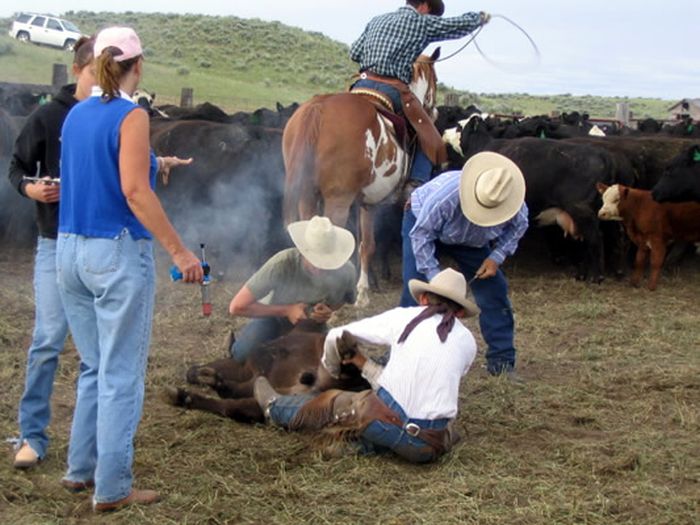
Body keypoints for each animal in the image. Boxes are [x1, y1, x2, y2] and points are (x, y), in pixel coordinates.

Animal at [282, 48, 440, 304]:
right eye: (435, 80)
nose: (433, 110)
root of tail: (319, 107)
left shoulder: (365, 203)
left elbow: (364, 244)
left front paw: (362, 288)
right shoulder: (369, 204)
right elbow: (369, 244)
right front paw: (363, 292)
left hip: (307, 195)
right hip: (337, 202)